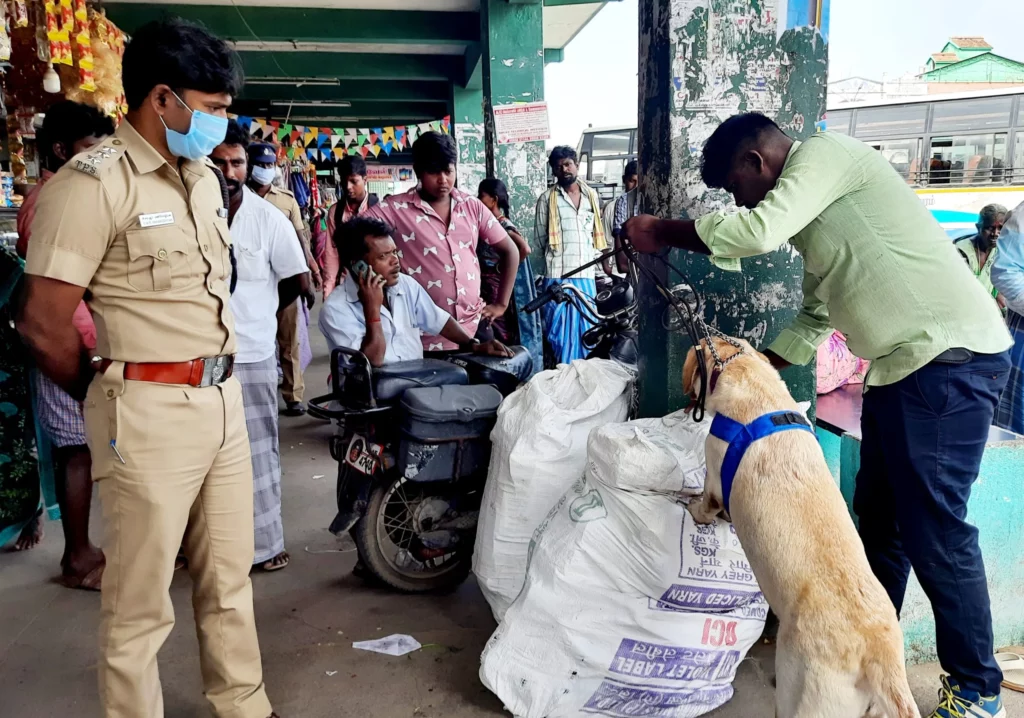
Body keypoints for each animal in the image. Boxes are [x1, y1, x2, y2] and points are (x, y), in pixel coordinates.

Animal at [684, 338, 917, 716]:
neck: (757, 386)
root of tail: (879, 654)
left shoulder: (715, 477)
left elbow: (707, 503)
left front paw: (691, 505)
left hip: (803, 693)